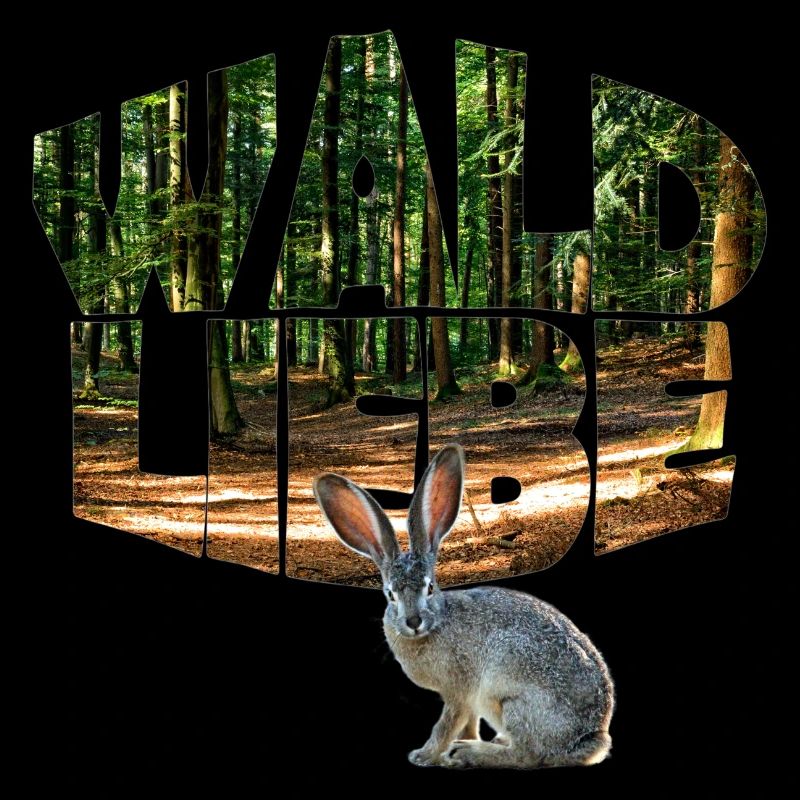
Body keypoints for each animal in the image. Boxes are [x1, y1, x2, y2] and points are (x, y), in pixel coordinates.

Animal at [312, 443, 614, 769]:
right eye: (390, 595)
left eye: (430, 587)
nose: (413, 621)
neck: (437, 623)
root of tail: (591, 738)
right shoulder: (466, 699)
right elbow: (467, 723)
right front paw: (454, 747)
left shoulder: (458, 690)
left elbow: (446, 724)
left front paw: (425, 755)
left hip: (513, 701)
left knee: (529, 754)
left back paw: (471, 753)